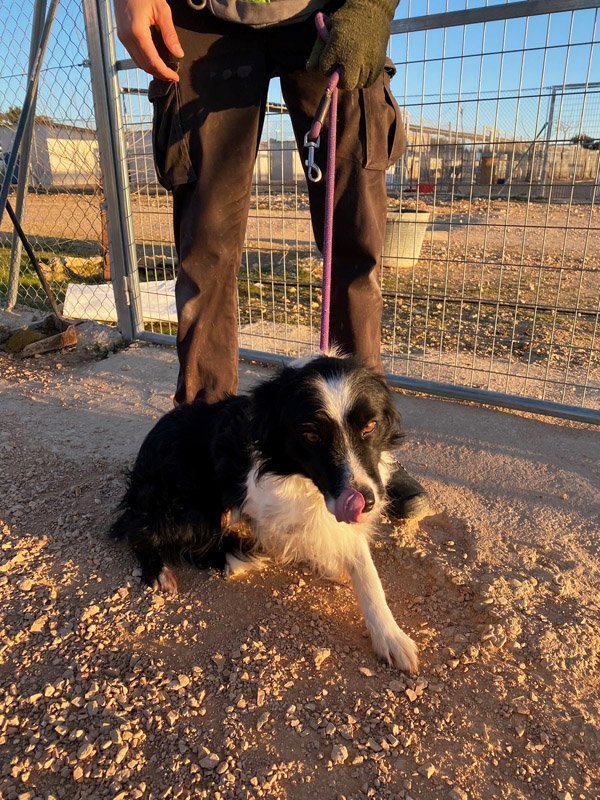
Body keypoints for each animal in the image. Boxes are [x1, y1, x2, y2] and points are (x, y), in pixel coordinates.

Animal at [110, 352, 419, 672]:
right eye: (311, 435)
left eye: (370, 426)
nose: (366, 502)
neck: (304, 481)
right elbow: (302, 534)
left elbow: (365, 570)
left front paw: (390, 636)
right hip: (187, 504)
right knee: (148, 533)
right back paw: (171, 570)